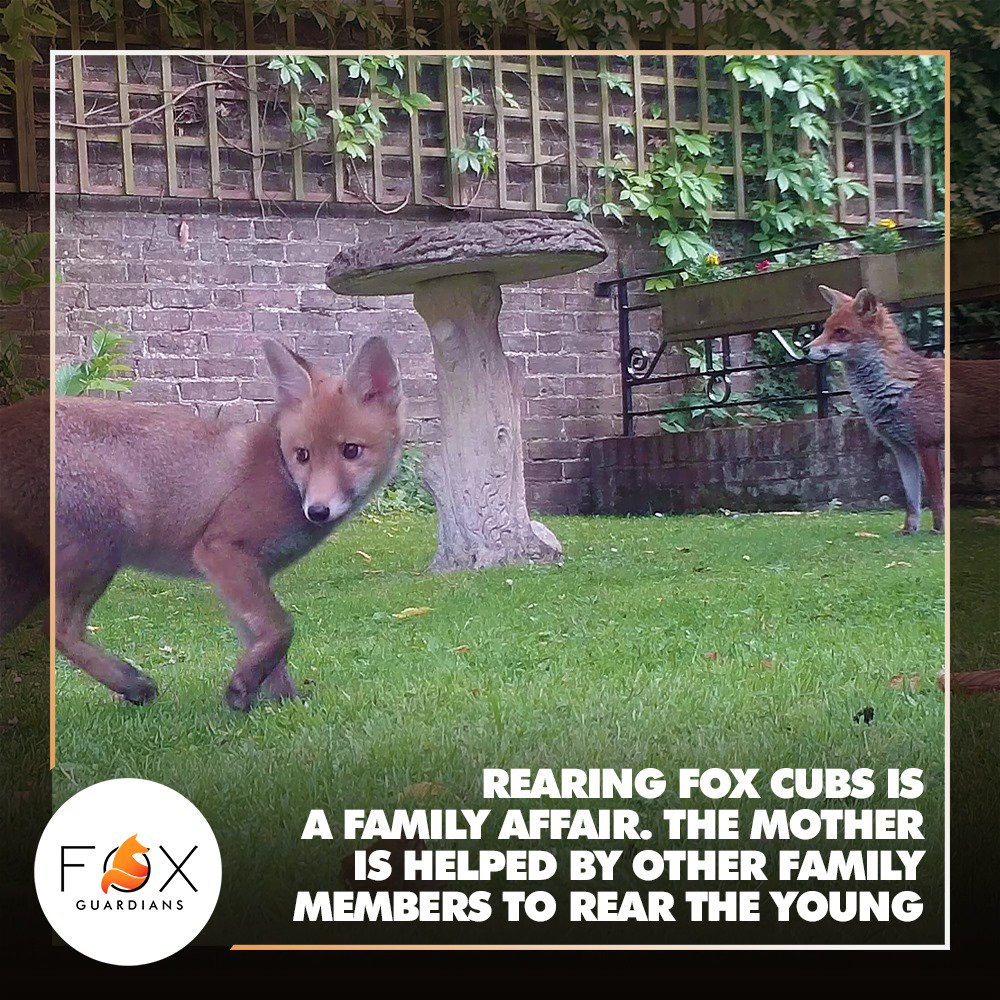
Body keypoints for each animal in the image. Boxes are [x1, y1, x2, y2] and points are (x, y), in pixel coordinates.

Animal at [55, 336, 404, 711]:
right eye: (303, 455)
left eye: (351, 451)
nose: (318, 510)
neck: (280, 471)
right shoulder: (221, 550)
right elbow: (282, 628)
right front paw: (243, 689)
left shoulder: (246, 573)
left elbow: (263, 641)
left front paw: (282, 700)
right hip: (101, 549)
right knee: (62, 631)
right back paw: (132, 683)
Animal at [807, 285, 944, 535]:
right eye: (826, 329)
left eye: (841, 332)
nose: (805, 350)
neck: (898, 389)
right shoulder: (902, 450)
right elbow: (912, 499)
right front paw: (909, 530)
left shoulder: (928, 445)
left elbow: (937, 496)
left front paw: (939, 529)